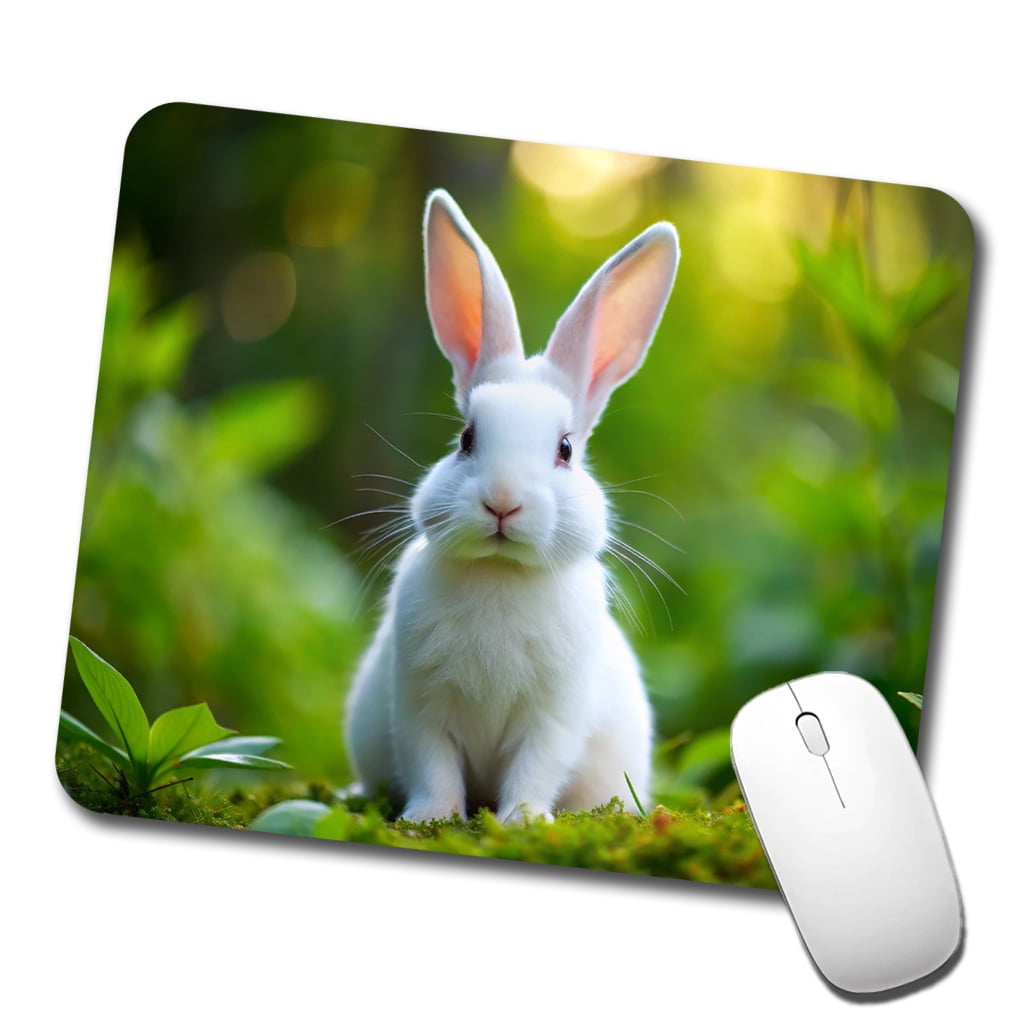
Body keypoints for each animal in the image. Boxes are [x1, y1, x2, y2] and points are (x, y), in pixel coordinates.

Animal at [344, 189, 679, 824]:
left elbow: (534, 769)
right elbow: (433, 767)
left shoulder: (552, 718)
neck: (500, 574)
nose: (502, 503)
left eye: (566, 449)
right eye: (466, 439)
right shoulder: (420, 704)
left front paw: (521, 823)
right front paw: (429, 820)